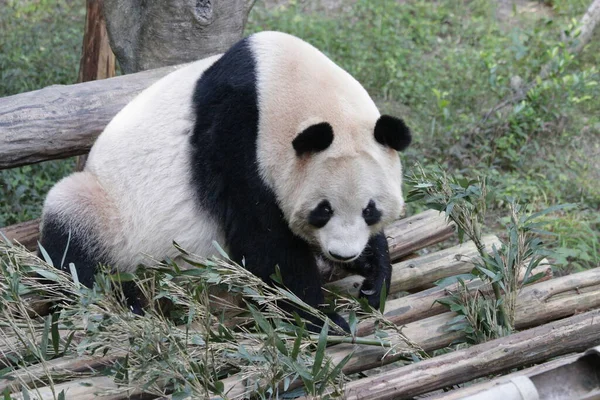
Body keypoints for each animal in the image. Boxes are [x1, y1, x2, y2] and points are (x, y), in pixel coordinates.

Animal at [39, 31, 410, 332]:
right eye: (323, 210)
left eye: (370, 211)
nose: (342, 254)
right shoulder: (236, 136)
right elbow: (264, 241)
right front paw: (320, 317)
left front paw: (375, 277)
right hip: (108, 212)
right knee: (73, 245)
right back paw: (125, 299)